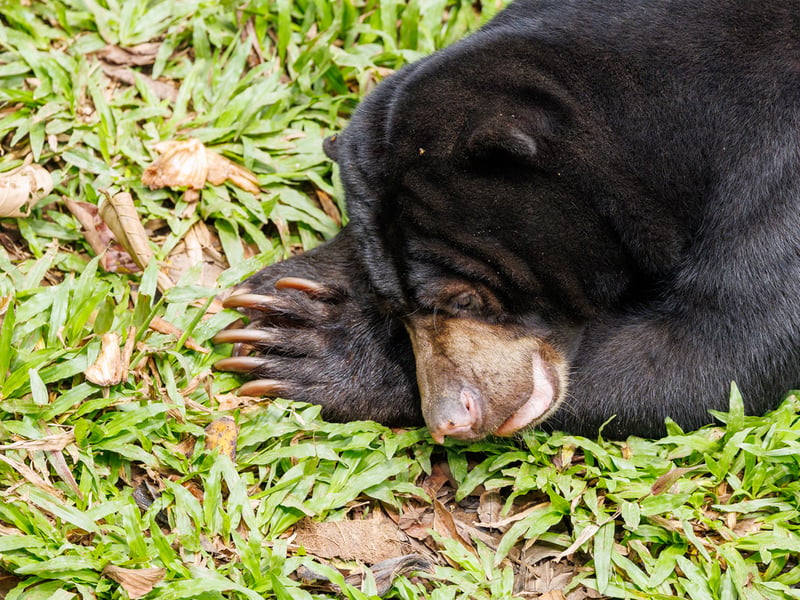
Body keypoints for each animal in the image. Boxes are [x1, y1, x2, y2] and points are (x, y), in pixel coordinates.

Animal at [215, 0, 800, 441]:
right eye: (396, 309)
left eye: (464, 299)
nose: (450, 419)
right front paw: (280, 294)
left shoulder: (775, 176)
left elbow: (716, 351)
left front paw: (308, 349)